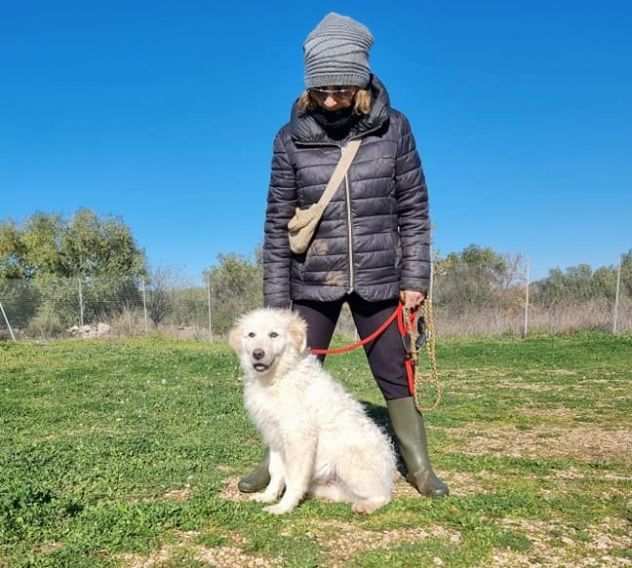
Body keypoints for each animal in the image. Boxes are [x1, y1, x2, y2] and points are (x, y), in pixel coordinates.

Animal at [228, 308, 396, 516]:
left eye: (273, 334)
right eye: (251, 335)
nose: (257, 354)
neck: (278, 377)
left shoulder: (299, 438)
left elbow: (293, 478)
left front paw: (284, 507)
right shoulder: (275, 437)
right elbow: (276, 472)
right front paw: (269, 496)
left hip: (349, 461)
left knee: (383, 495)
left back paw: (366, 506)